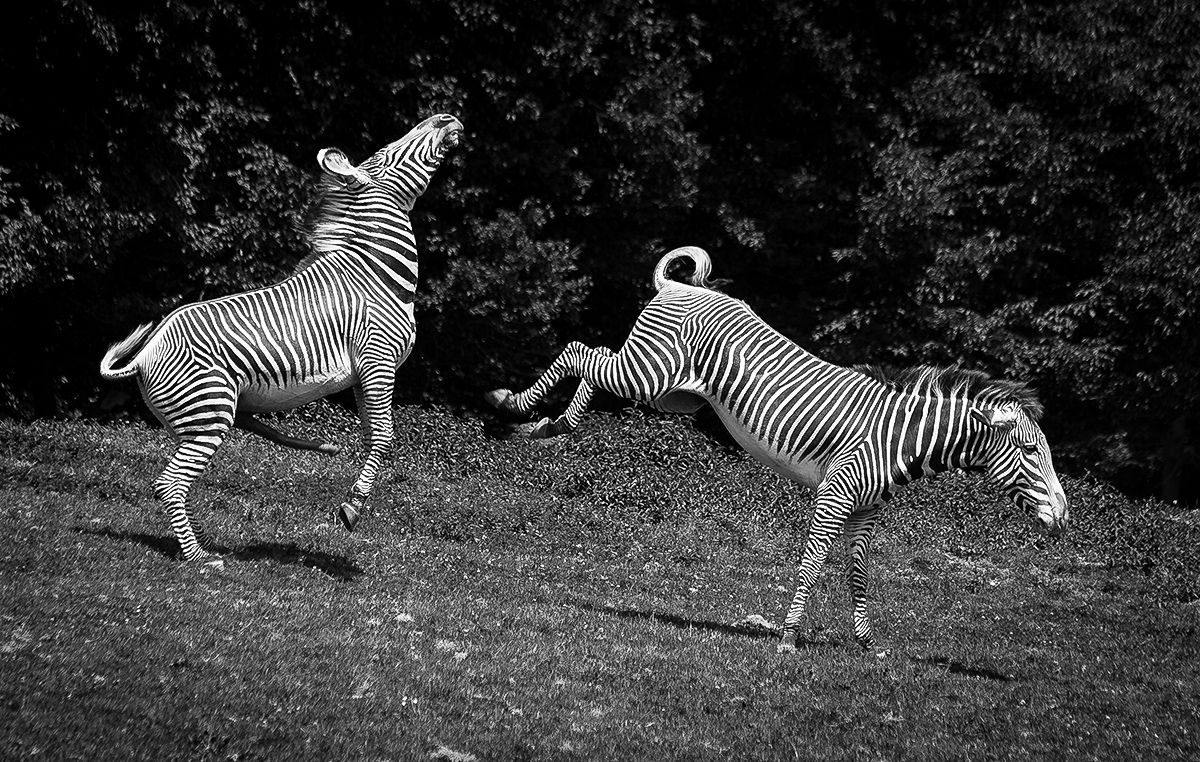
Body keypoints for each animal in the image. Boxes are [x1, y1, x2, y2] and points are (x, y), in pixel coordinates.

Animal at [100, 113, 463, 564]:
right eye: (383, 155)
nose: (446, 117)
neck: (376, 274)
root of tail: (147, 351)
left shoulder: (365, 374)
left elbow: (371, 437)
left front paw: (355, 497)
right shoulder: (378, 360)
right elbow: (384, 436)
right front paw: (352, 508)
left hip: (197, 418)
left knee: (183, 476)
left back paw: (203, 539)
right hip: (208, 416)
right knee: (169, 484)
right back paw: (200, 558)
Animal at [486, 245, 1069, 651]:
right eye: (1031, 454)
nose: (1064, 519)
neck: (899, 437)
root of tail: (675, 286)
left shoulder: (866, 512)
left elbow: (858, 574)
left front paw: (867, 643)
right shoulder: (834, 496)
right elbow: (812, 562)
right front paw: (788, 636)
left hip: (673, 397)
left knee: (589, 363)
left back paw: (550, 425)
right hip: (649, 373)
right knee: (581, 354)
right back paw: (519, 409)